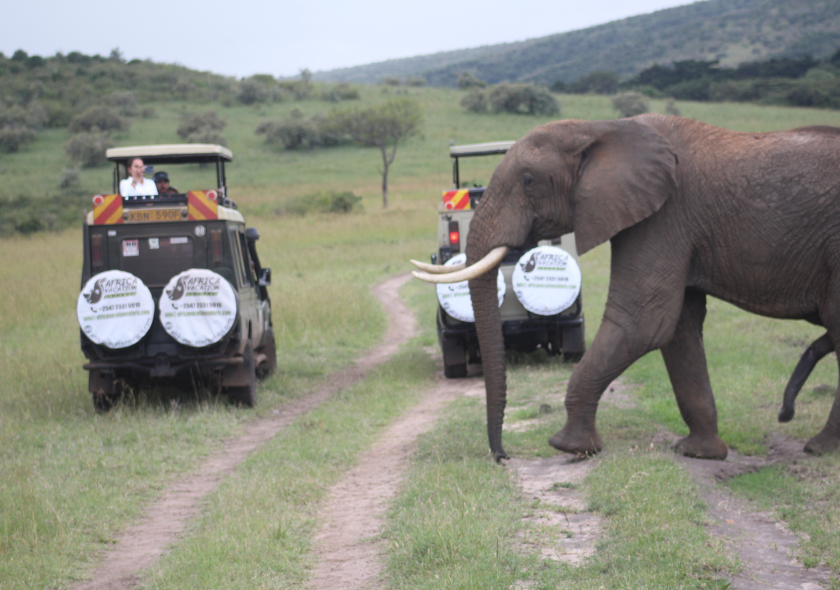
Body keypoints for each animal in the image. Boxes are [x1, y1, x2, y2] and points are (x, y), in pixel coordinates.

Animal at [416, 114, 840, 462]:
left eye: (528, 181)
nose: (503, 456)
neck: (600, 127)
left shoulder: (665, 214)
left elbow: (643, 321)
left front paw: (569, 447)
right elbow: (677, 328)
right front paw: (699, 453)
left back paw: (818, 448)